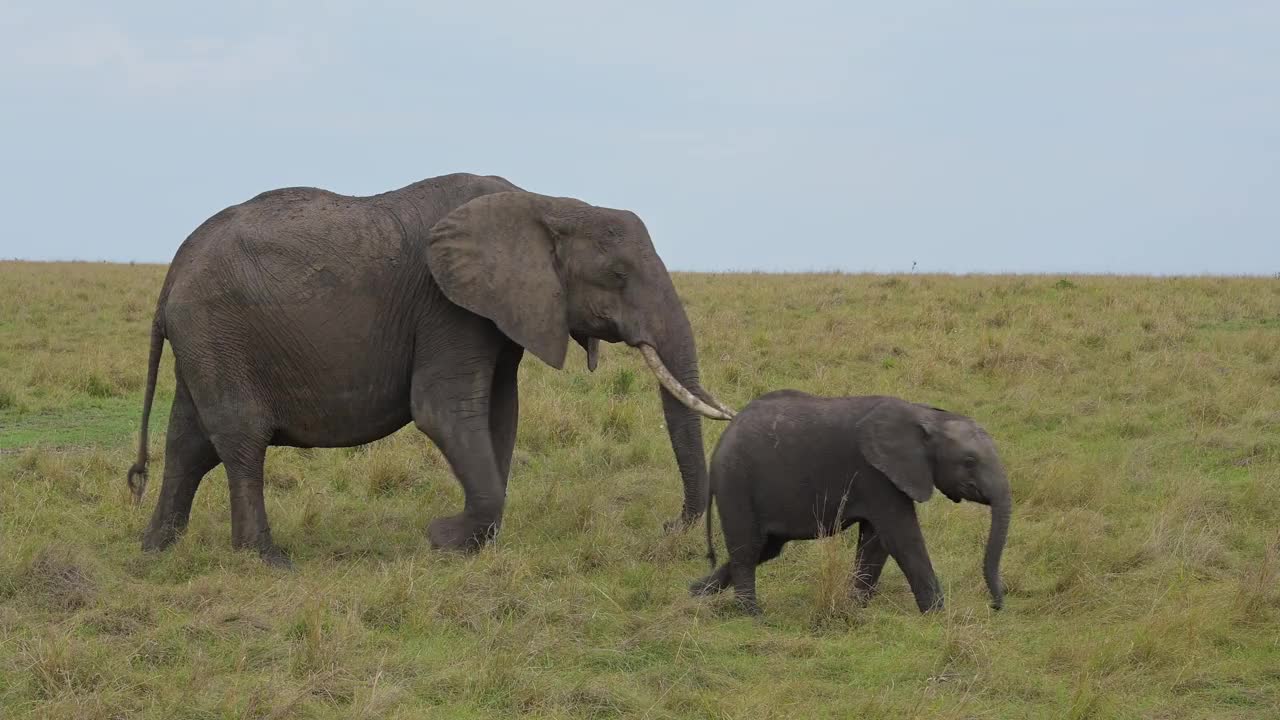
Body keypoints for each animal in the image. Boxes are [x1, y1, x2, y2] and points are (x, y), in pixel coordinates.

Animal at [129, 170, 737, 563]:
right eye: (616, 275)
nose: (669, 527)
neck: (544, 203)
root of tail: (176, 262)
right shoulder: (447, 305)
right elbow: (444, 410)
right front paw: (443, 539)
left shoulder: (497, 312)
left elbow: (500, 414)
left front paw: (472, 544)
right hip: (217, 329)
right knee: (240, 438)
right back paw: (265, 557)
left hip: (204, 339)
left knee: (188, 440)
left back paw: (156, 548)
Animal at [691, 389, 1008, 614]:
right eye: (969, 461)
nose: (995, 605)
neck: (925, 415)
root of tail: (721, 442)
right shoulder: (876, 473)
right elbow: (901, 537)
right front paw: (938, 615)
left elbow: (876, 542)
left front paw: (855, 607)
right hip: (736, 481)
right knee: (747, 548)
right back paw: (751, 614)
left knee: (765, 548)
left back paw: (695, 593)